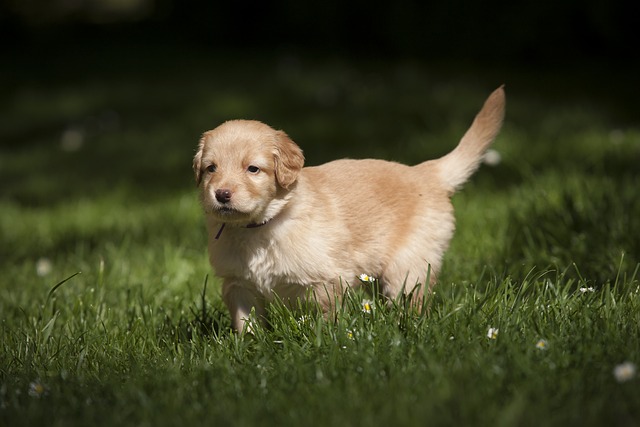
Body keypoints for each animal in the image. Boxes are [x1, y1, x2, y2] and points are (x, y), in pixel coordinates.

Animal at [194, 85, 504, 330]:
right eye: (211, 168)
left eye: (253, 169)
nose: (221, 194)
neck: (260, 226)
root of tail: (425, 172)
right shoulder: (238, 284)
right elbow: (246, 324)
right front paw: (249, 348)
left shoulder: (326, 281)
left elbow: (327, 318)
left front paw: (326, 340)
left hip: (408, 266)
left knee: (411, 300)